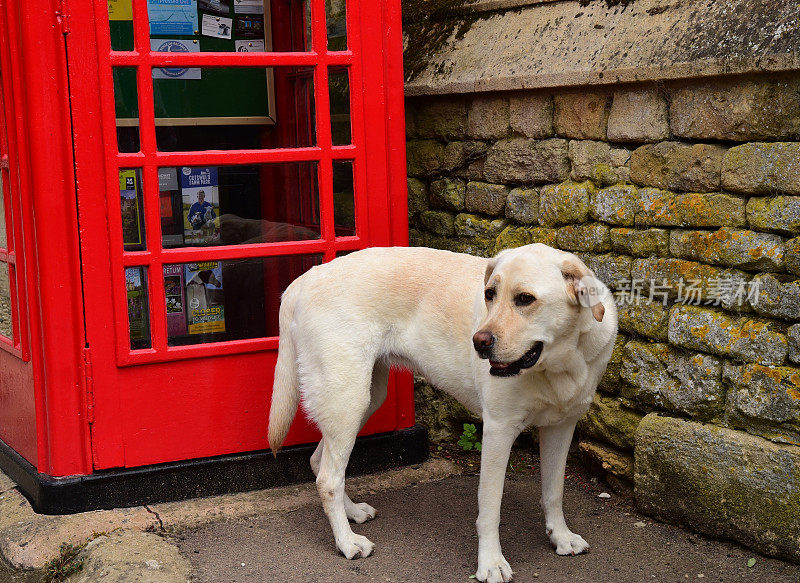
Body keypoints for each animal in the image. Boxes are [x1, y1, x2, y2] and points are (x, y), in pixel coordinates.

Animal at [268, 244, 620, 580]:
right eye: (490, 294)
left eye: (525, 299)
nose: (478, 342)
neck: (558, 362)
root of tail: (306, 277)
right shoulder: (498, 430)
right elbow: (490, 509)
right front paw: (490, 563)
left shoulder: (562, 427)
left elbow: (554, 491)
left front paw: (560, 536)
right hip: (347, 398)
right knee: (329, 478)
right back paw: (347, 542)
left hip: (364, 398)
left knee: (320, 462)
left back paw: (352, 512)